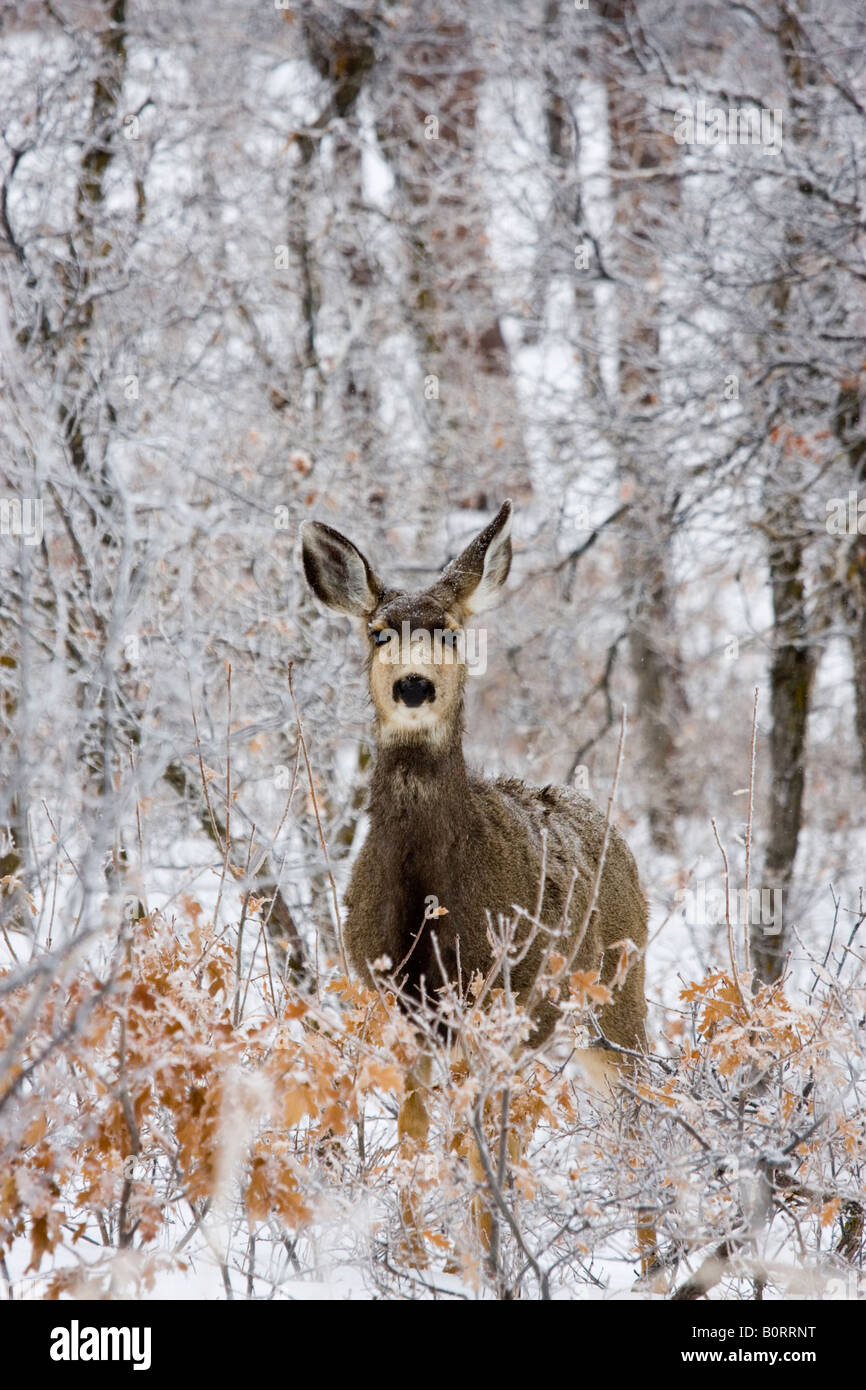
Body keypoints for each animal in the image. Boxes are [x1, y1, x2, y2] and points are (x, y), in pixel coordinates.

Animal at [300, 499, 652, 1266]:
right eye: (377, 631)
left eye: (450, 630)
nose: (413, 686)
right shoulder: (398, 1014)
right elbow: (416, 1143)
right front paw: (415, 1260)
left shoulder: (487, 1008)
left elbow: (469, 1153)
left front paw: (478, 1265)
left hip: (618, 991)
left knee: (641, 1114)